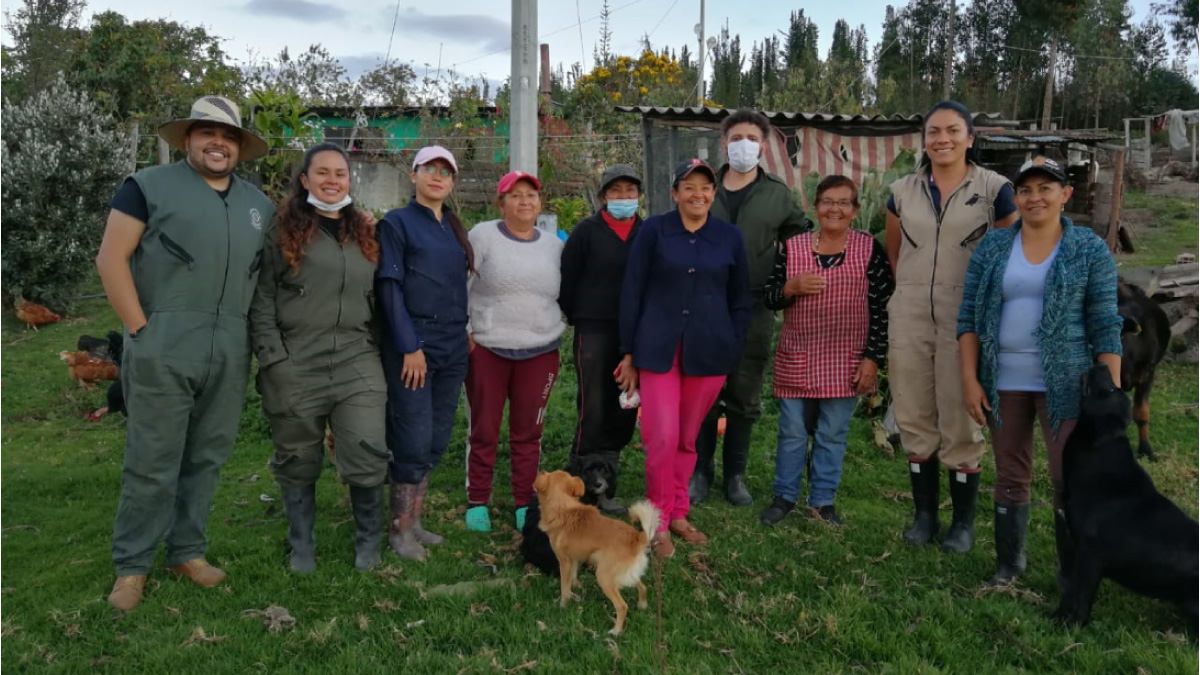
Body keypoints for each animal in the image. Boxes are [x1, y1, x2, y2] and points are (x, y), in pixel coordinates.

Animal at [535, 470, 662, 634]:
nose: (542, 471)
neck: (563, 506)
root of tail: (637, 538)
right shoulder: (574, 559)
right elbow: (573, 577)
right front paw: (576, 588)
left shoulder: (564, 561)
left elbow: (565, 587)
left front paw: (563, 605)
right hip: (627, 574)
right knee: (642, 587)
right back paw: (642, 606)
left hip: (604, 577)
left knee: (622, 606)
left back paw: (615, 631)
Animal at [1056, 365, 1195, 624]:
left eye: (1112, 389)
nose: (1102, 365)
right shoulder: (1079, 550)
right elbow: (1070, 591)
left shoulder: (1091, 556)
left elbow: (1081, 596)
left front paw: (1073, 625)